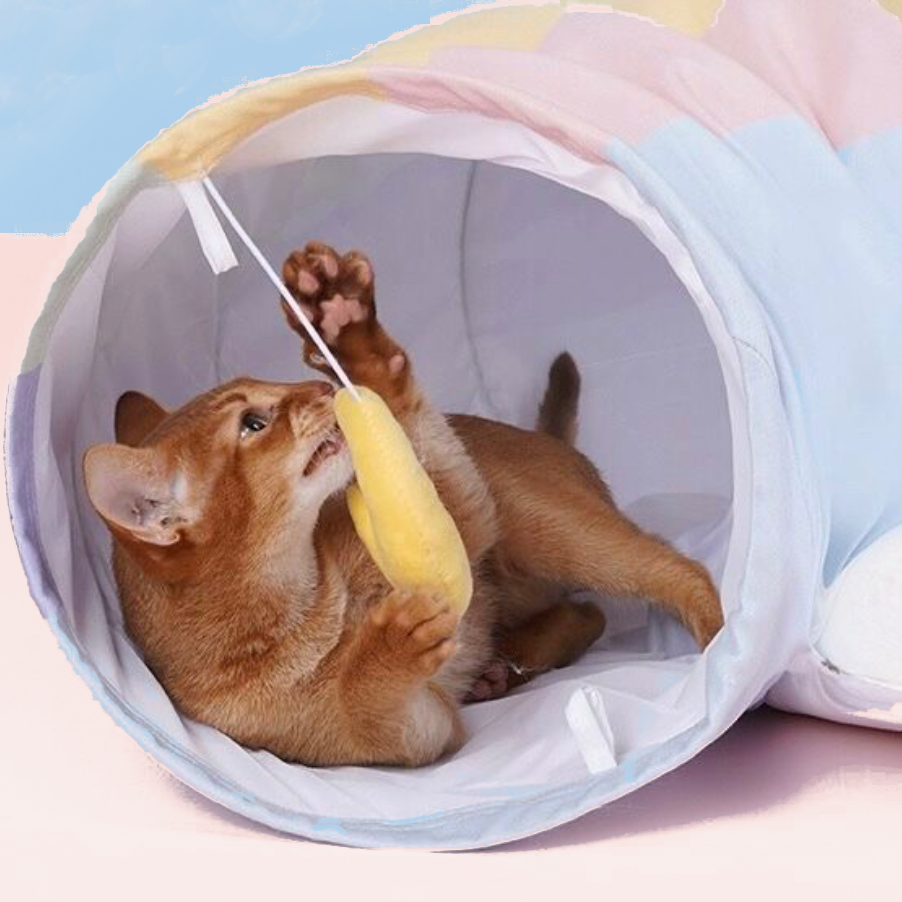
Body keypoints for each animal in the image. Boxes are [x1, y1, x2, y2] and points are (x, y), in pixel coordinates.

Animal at [83, 242, 720, 768]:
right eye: (253, 424)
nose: (320, 387)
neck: (304, 614)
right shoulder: (410, 733)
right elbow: (361, 699)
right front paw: (393, 640)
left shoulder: (460, 516)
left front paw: (346, 327)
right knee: (592, 611)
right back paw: (501, 668)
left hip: (547, 529)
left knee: (675, 573)